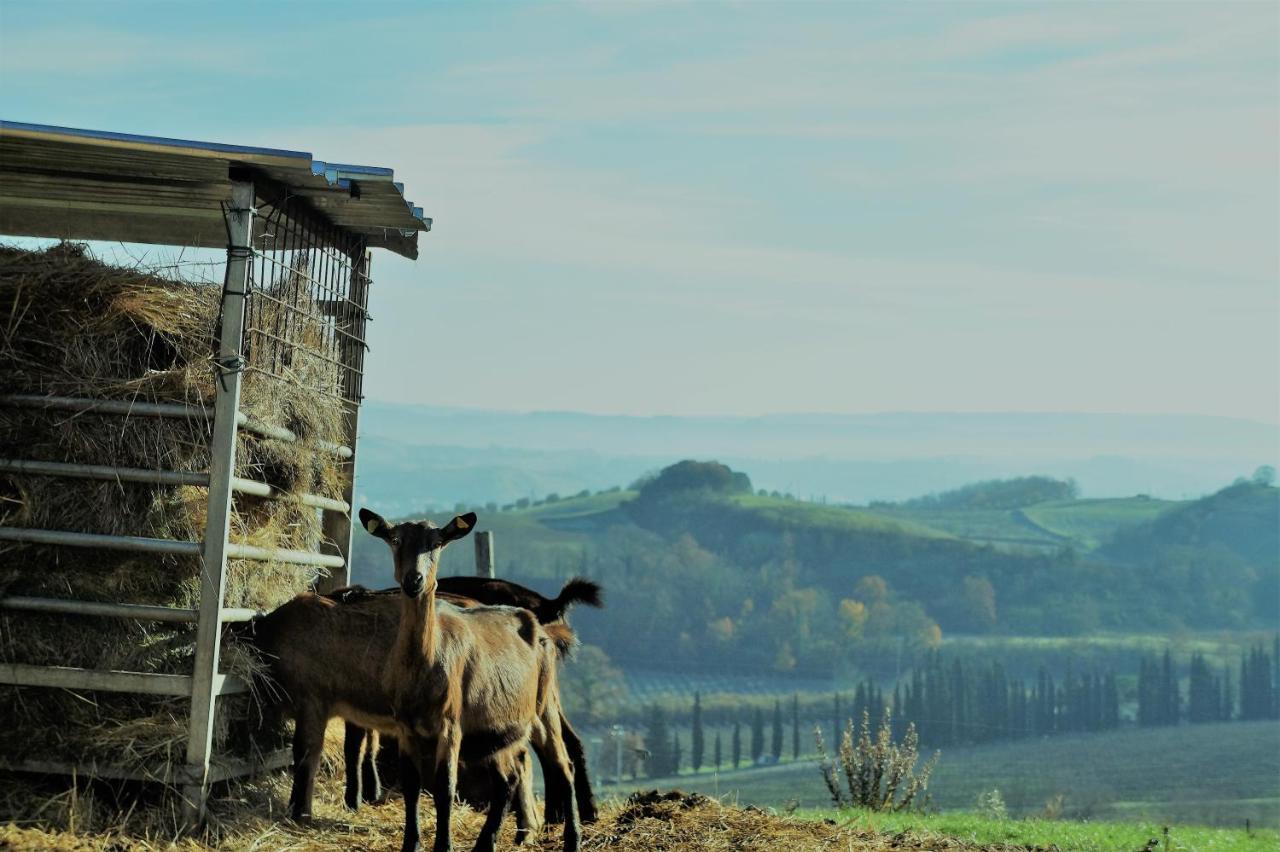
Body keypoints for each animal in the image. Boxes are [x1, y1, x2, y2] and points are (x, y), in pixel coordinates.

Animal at [360, 506, 581, 849]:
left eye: (436, 543)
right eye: (395, 539)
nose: (414, 580)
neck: (423, 666)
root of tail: (541, 626)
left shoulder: (451, 724)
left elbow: (445, 786)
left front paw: (444, 845)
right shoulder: (405, 727)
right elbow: (411, 786)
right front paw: (412, 843)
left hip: (543, 709)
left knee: (563, 765)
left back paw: (572, 839)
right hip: (496, 727)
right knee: (508, 779)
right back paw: (485, 842)